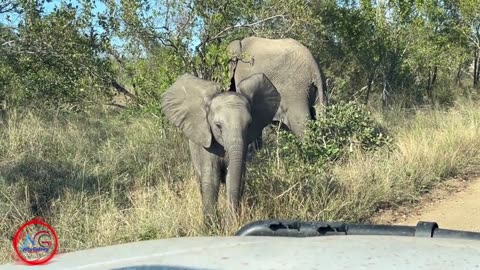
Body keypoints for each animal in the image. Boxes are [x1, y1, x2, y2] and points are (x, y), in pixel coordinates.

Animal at [162, 71, 282, 224]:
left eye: (249, 125)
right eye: (218, 126)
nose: (230, 221)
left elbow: (234, 176)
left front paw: (230, 223)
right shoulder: (207, 145)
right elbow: (211, 178)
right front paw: (212, 225)